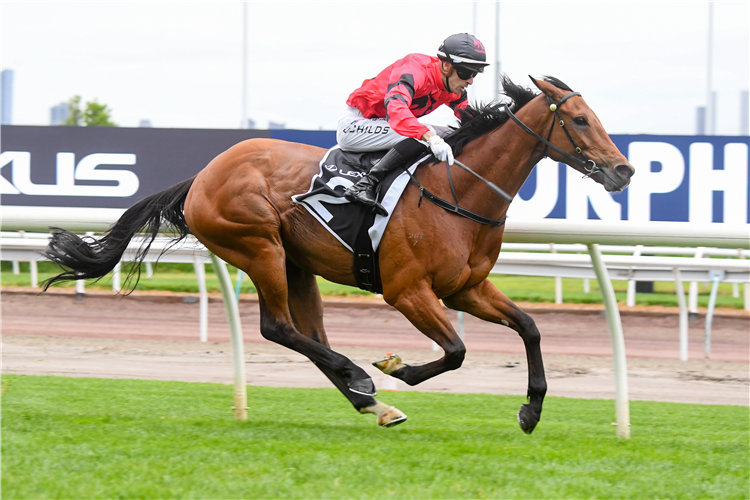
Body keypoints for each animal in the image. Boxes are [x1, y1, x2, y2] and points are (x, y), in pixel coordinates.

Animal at [42, 77, 636, 434]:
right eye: (579, 120)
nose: (624, 170)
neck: (457, 192)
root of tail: (201, 178)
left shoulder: (467, 287)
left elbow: (530, 328)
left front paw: (531, 409)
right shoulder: (407, 291)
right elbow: (456, 351)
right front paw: (396, 366)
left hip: (296, 264)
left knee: (309, 335)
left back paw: (371, 401)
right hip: (258, 245)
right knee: (278, 328)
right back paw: (362, 379)